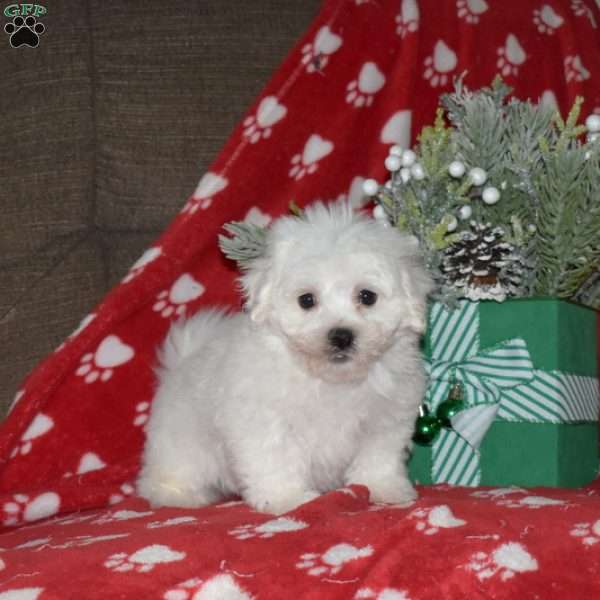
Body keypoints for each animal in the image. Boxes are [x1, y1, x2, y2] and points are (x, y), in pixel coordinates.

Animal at [138, 202, 434, 516]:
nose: (341, 335)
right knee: (166, 475)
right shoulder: (265, 420)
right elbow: (275, 459)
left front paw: (383, 488)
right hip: (182, 443)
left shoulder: (385, 419)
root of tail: (180, 363)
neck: (330, 379)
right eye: (306, 300)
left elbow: (378, 456)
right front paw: (287, 498)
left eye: (367, 296)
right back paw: (179, 496)